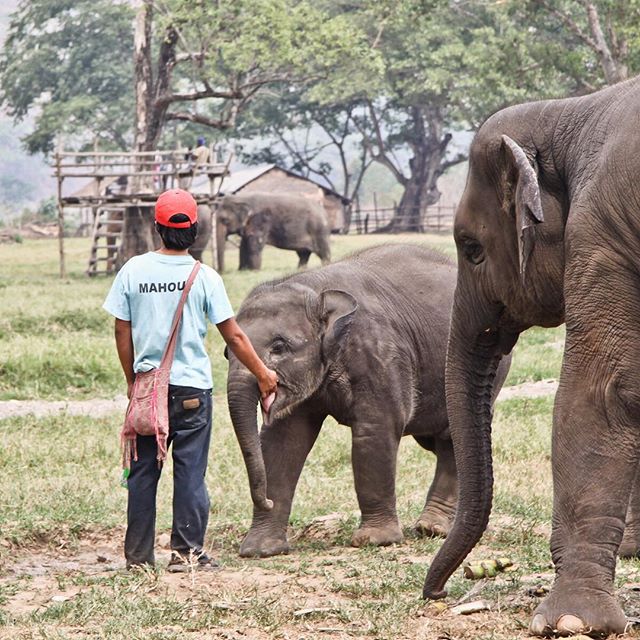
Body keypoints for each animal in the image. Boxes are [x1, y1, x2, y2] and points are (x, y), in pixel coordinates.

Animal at [225, 245, 510, 560]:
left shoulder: (380, 354)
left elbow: (376, 430)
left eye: (279, 346)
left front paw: (375, 540)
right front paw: (260, 550)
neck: (316, 288)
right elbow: (283, 442)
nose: (265, 501)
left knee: (453, 437)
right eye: (226, 352)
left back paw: (432, 529)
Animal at [422, 74, 640, 636]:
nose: (435, 593)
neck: (570, 112)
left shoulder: (602, 231)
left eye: (471, 248)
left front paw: (573, 619)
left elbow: (604, 392)